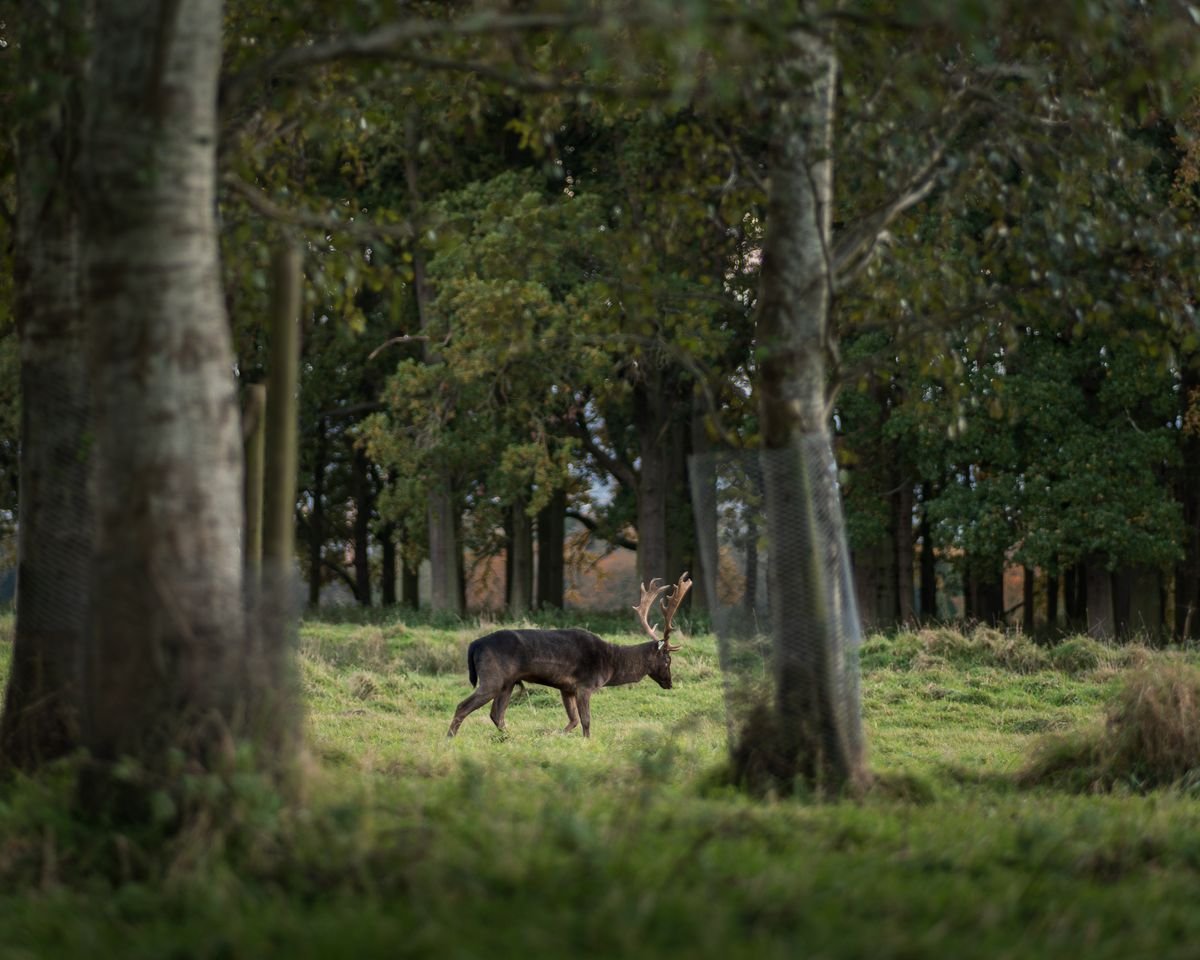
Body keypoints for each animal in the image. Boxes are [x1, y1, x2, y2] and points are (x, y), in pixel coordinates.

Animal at [446, 572, 692, 738]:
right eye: (667, 660)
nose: (670, 683)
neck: (611, 664)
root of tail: (475, 645)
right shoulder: (586, 684)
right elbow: (586, 720)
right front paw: (587, 742)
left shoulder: (567, 688)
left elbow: (573, 720)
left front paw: (557, 735)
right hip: (492, 677)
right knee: (462, 706)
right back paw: (450, 739)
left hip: (508, 682)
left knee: (497, 714)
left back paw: (511, 738)